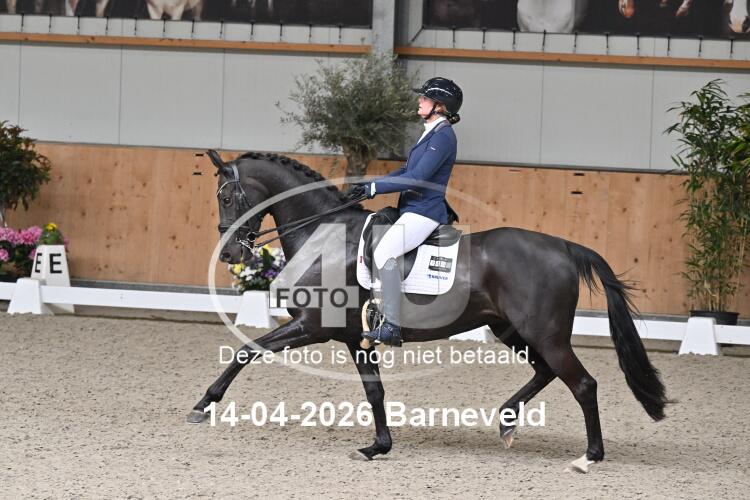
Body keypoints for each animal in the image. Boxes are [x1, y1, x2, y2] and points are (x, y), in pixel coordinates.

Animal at [187, 150, 668, 472]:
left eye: (227, 196)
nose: (230, 254)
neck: (324, 236)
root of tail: (565, 248)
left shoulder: (311, 327)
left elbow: (246, 351)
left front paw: (203, 404)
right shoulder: (353, 337)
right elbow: (375, 391)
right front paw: (378, 446)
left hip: (545, 335)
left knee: (583, 384)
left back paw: (589, 457)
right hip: (512, 331)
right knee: (547, 372)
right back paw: (507, 422)